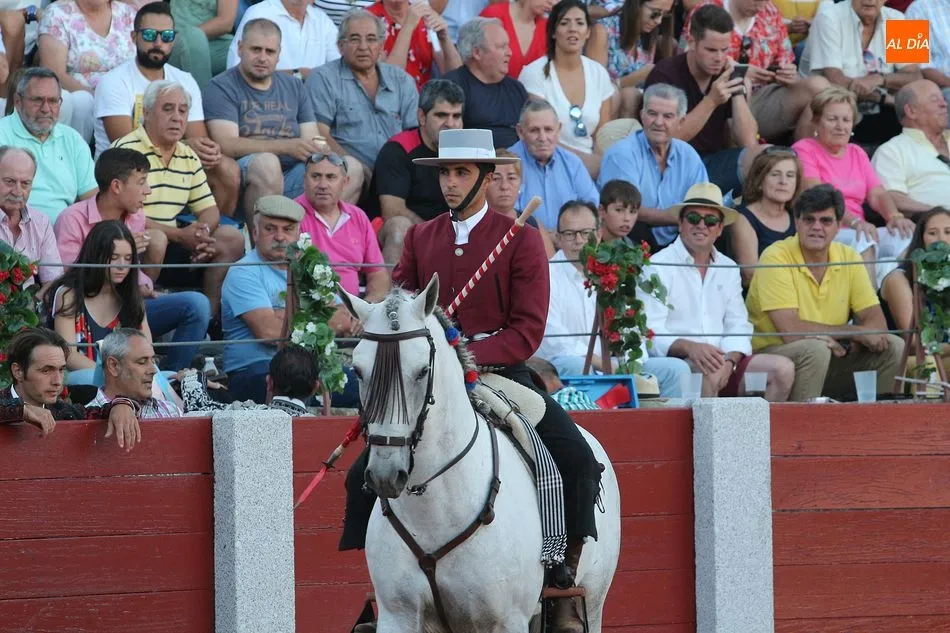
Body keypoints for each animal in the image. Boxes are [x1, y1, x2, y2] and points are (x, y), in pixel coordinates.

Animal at [341, 275, 621, 633]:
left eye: (422, 370)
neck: (432, 506)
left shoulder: (506, 620)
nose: (386, 475)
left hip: (594, 599)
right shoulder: (397, 615)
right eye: (358, 371)